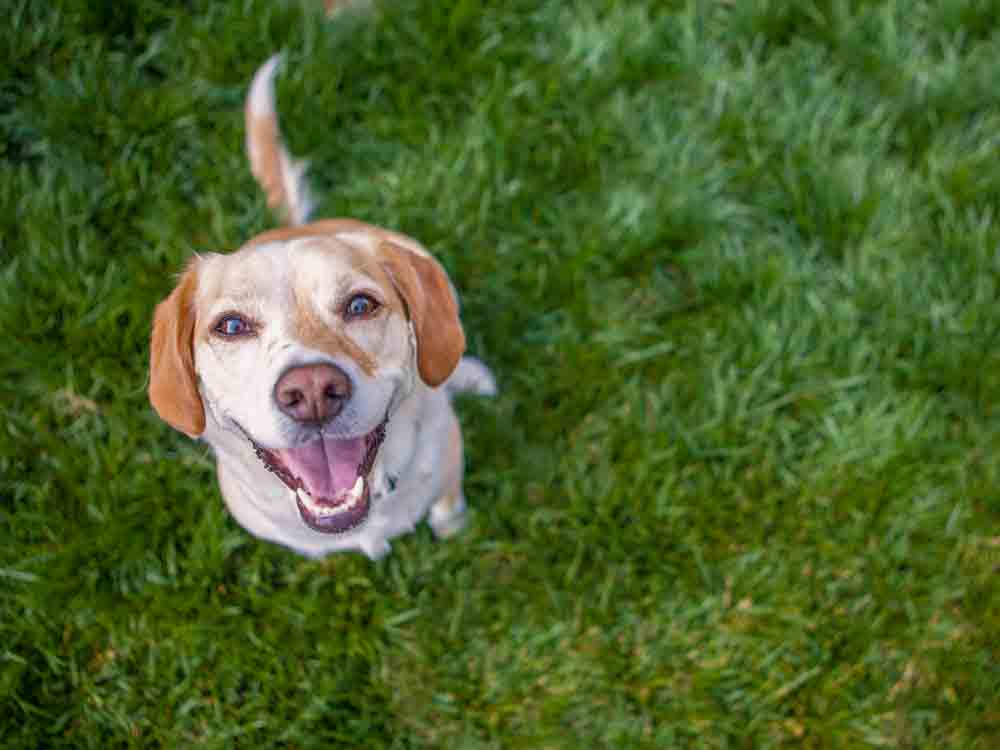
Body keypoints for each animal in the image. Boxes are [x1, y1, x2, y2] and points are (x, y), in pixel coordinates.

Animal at [148, 58, 496, 560]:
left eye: (360, 304)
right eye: (231, 326)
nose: (312, 391)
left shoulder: (447, 463)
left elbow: (448, 505)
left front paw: (454, 528)